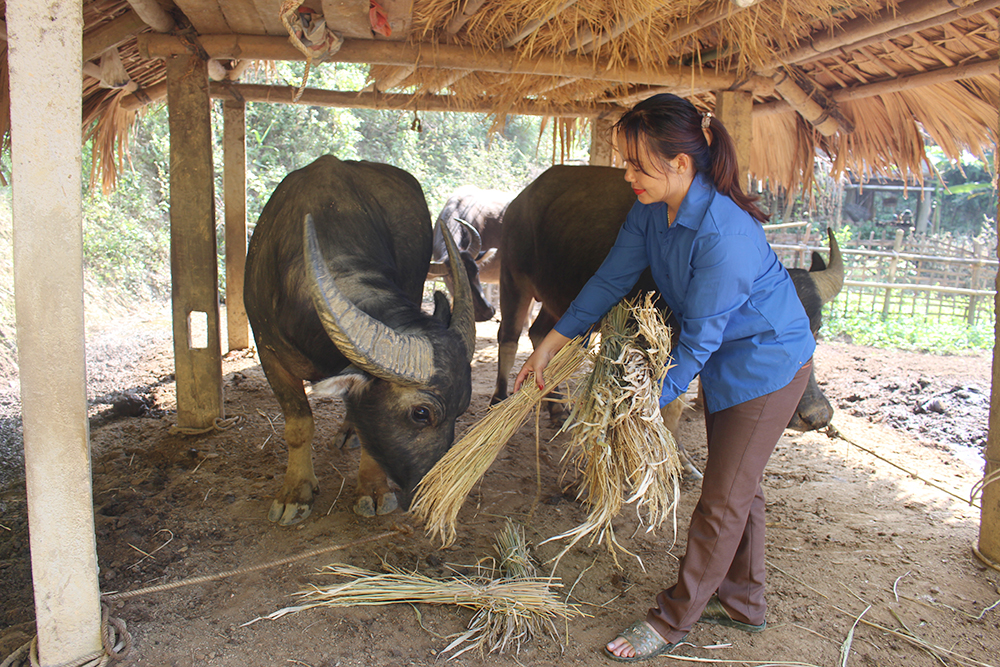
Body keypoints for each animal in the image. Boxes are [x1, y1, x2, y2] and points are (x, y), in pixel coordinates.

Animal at [244, 154, 474, 524]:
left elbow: (369, 432)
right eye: (421, 413)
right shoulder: (269, 354)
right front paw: (295, 493)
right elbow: (298, 425)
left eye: (462, 409)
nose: (432, 498)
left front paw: (373, 490)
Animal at [492, 164, 844, 462]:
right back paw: (499, 398)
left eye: (816, 330)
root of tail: (522, 199)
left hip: (559, 299)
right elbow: (670, 401)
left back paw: (555, 408)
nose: (817, 415)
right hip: (513, 278)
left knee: (541, 334)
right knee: (508, 336)